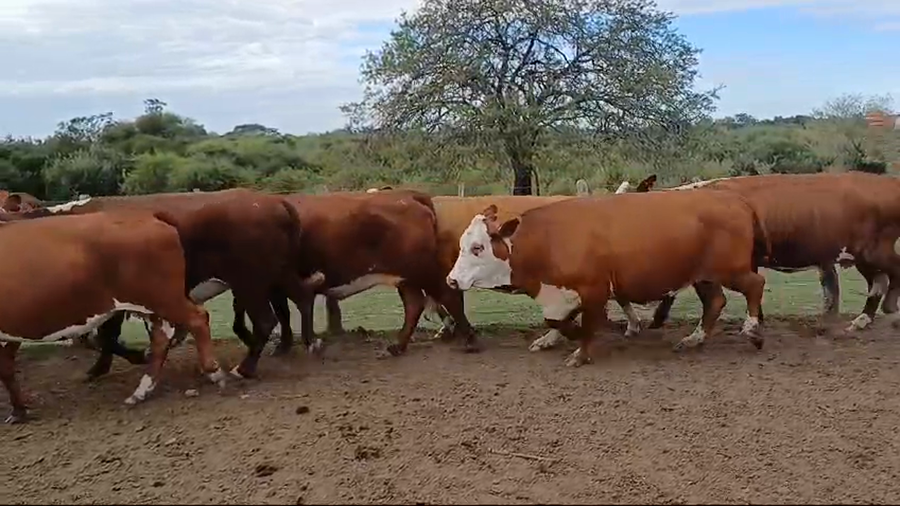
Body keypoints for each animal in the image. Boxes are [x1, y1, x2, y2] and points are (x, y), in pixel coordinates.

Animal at [0, 210, 228, 423]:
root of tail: (149, 217)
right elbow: (7, 370)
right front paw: (18, 411)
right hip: (153, 305)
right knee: (161, 338)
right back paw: (141, 391)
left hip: (162, 297)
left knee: (197, 318)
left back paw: (213, 370)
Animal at [446, 189, 771, 366]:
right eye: (462, 244)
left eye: (477, 248)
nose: (451, 280)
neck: (549, 239)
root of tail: (735, 199)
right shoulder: (563, 293)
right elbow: (556, 320)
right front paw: (551, 339)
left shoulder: (594, 288)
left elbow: (589, 323)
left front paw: (580, 352)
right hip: (702, 276)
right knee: (714, 303)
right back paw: (694, 339)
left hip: (730, 269)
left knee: (755, 285)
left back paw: (752, 330)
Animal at [621, 172, 900, 333]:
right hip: (861, 256)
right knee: (878, 282)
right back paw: (862, 320)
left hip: (873, 251)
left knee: (892, 273)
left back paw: (889, 306)